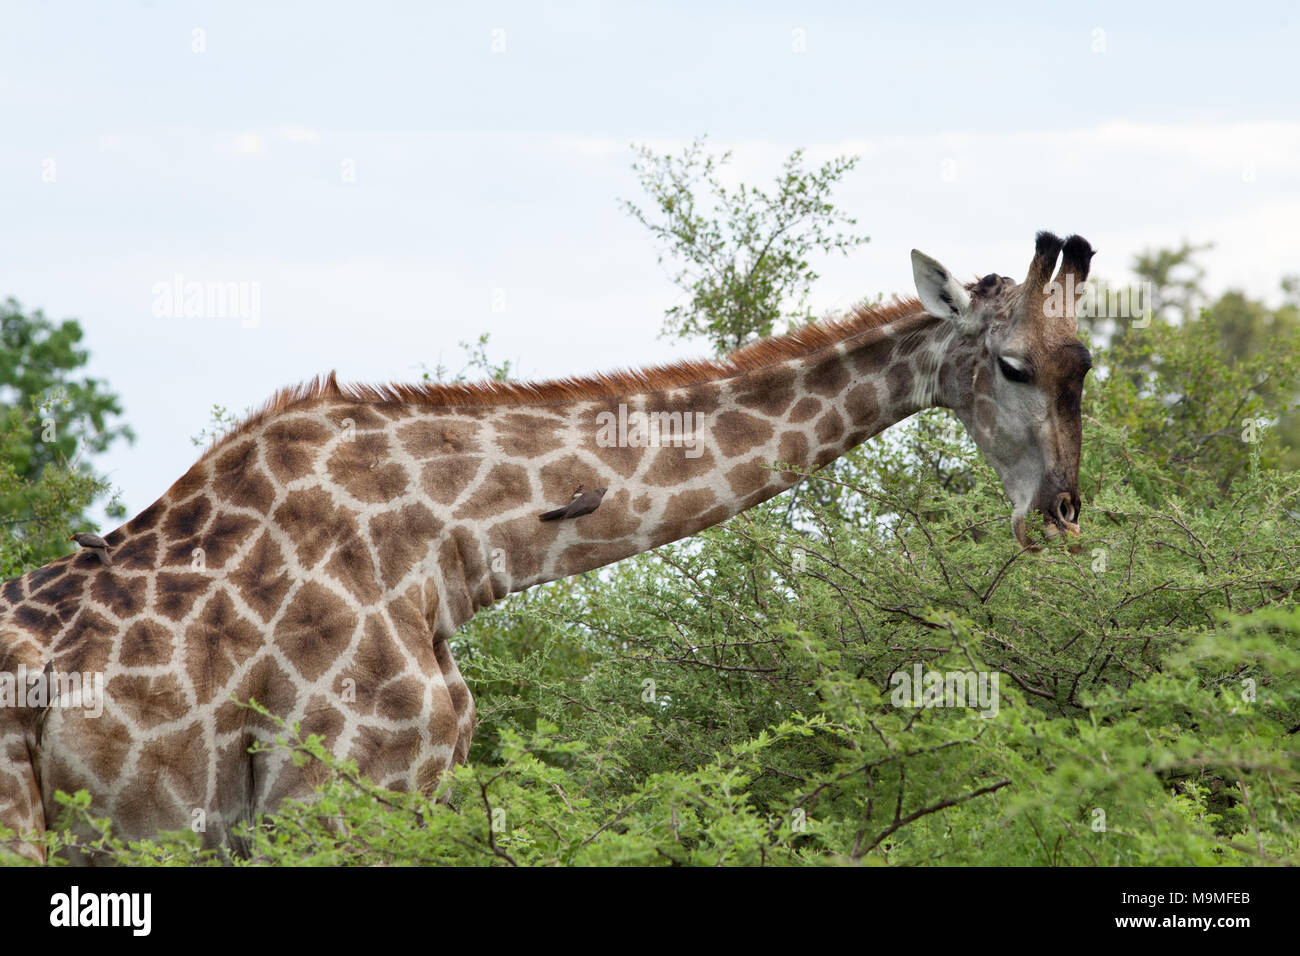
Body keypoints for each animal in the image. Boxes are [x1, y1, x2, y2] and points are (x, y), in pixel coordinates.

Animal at [0, 230, 1097, 858]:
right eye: (1011, 365)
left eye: (1086, 362)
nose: (1058, 510)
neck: (450, 546)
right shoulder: (329, 801)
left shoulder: (394, 799)